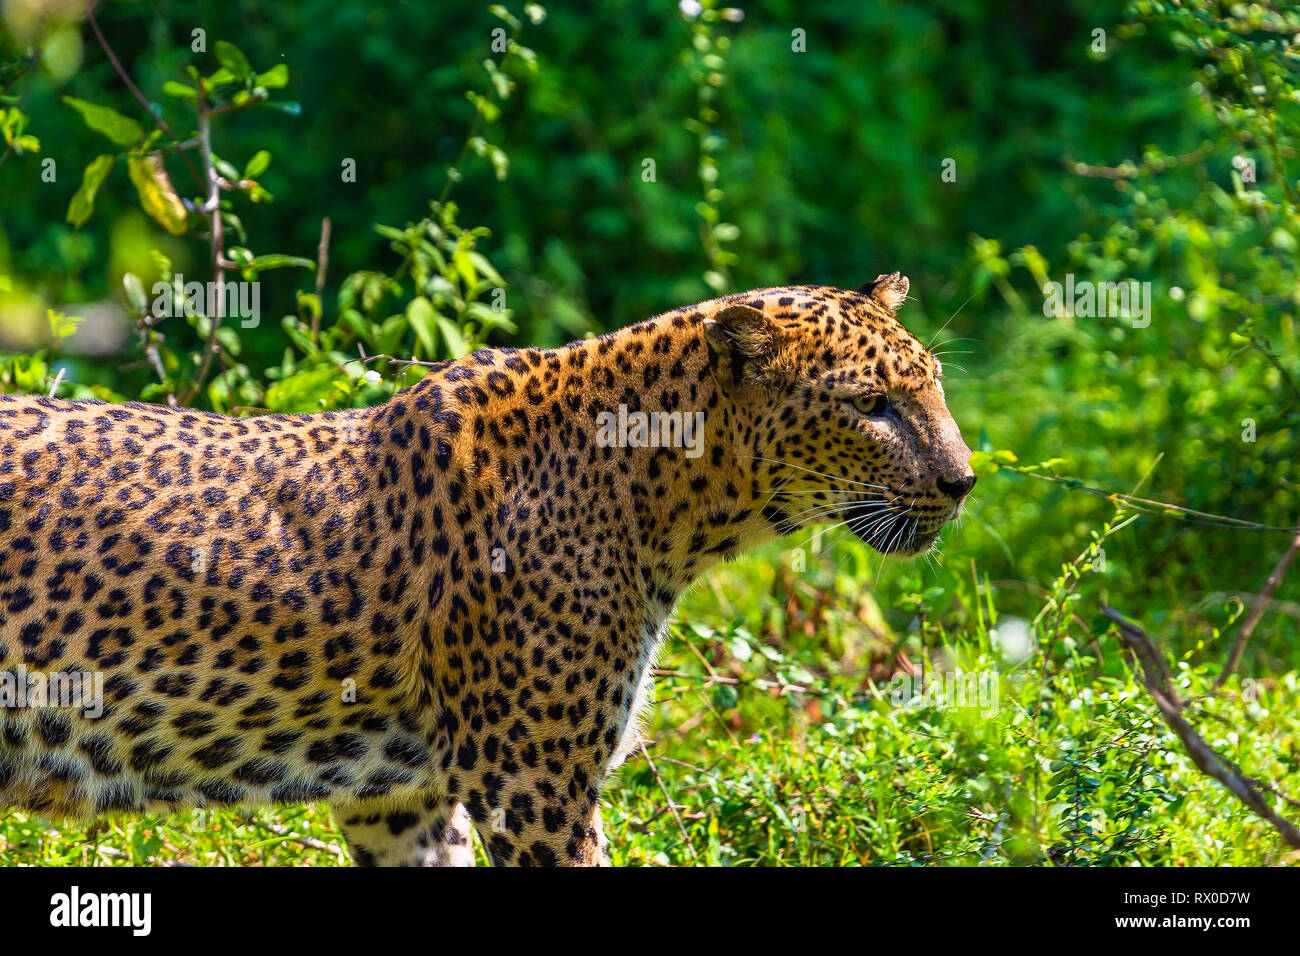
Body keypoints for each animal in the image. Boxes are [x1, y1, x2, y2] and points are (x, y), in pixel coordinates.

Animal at [0, 274, 972, 868]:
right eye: (872, 407)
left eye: (932, 382)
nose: (964, 481)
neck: (667, 502)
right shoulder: (534, 786)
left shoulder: (403, 797)